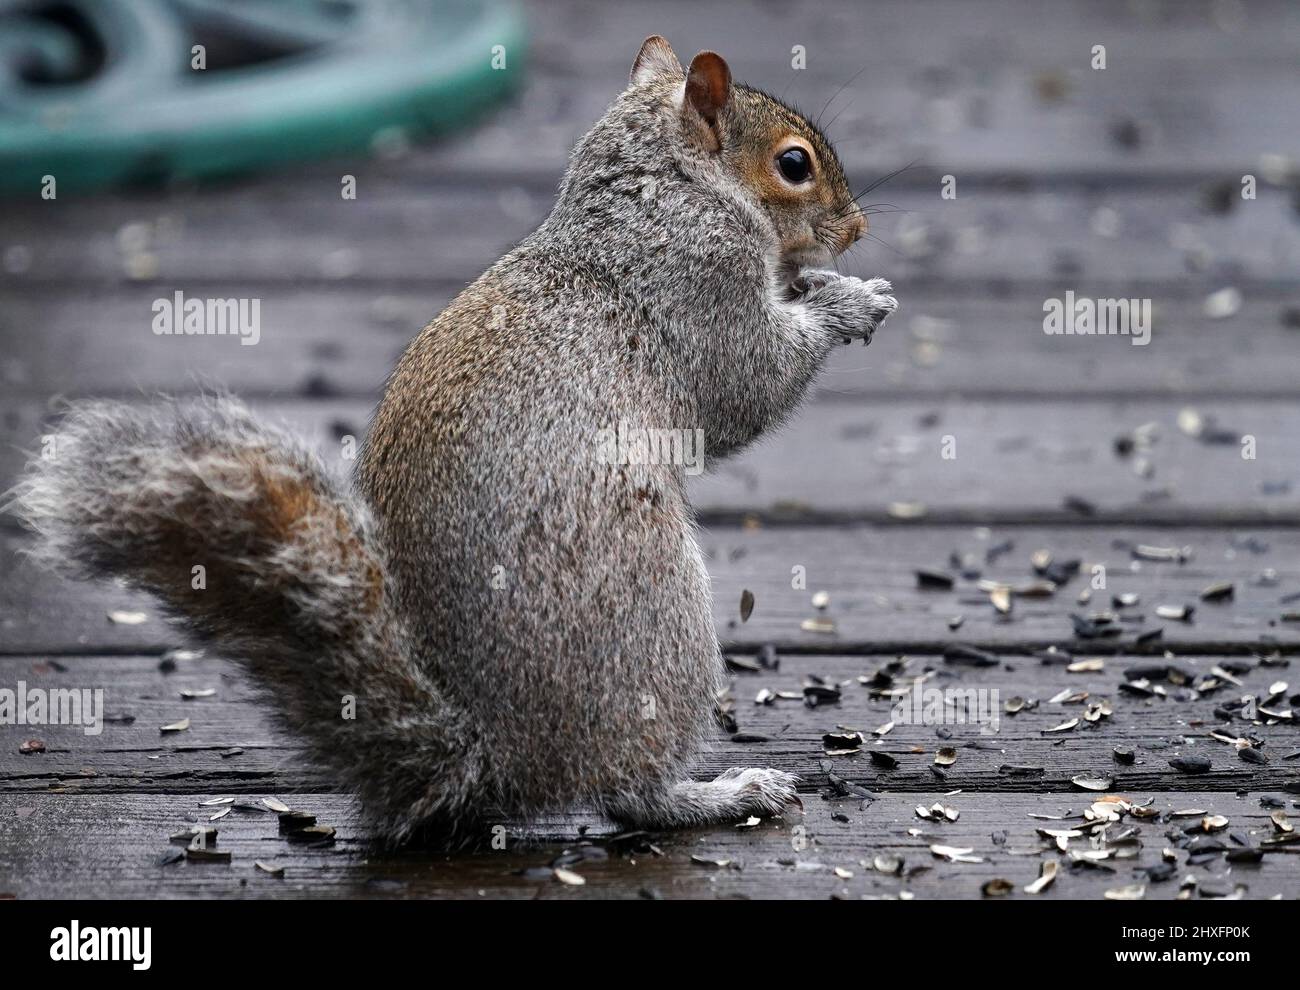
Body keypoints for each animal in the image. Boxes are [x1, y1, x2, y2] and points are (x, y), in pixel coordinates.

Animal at [10, 36, 899, 841]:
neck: (657, 190)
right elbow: (748, 384)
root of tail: (491, 759)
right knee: (626, 787)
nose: (856, 229)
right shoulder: (699, 284)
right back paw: (718, 794)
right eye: (794, 164)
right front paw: (850, 302)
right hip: (652, 622)